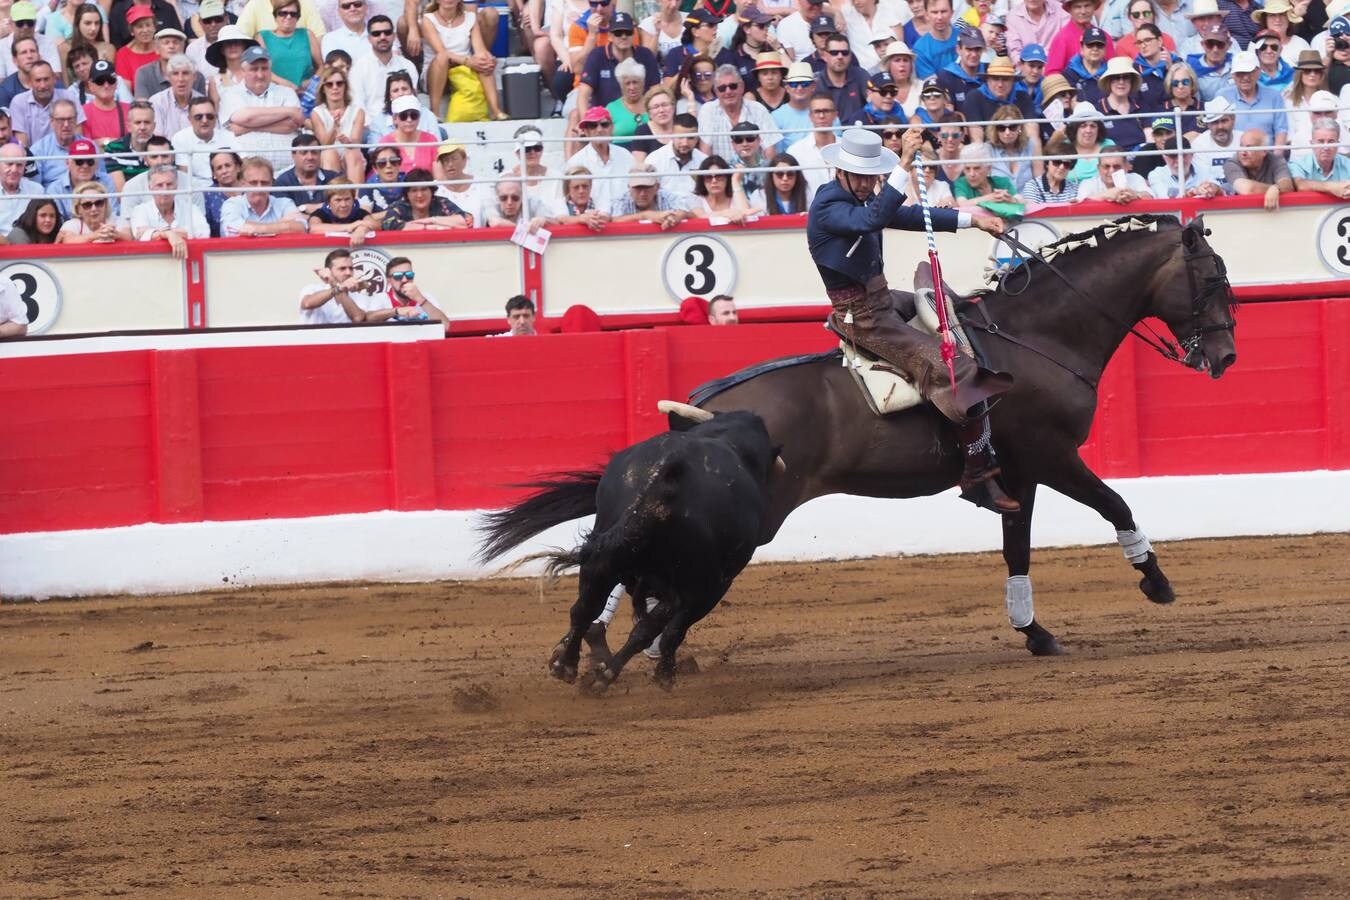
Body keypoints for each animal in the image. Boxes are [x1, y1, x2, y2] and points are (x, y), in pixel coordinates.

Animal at [480, 412, 783, 696]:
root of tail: (665, 476)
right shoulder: (708, 588)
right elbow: (664, 630)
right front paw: (662, 674)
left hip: (605, 555)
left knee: (584, 609)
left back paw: (565, 665)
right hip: (699, 585)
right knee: (651, 627)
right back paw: (610, 673)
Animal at [691, 215, 1236, 658]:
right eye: (1212, 279)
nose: (1226, 356)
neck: (1036, 338)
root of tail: (706, 408)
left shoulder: (1018, 474)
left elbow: (1018, 546)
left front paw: (1035, 632)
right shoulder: (1052, 455)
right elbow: (1115, 504)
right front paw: (1157, 582)